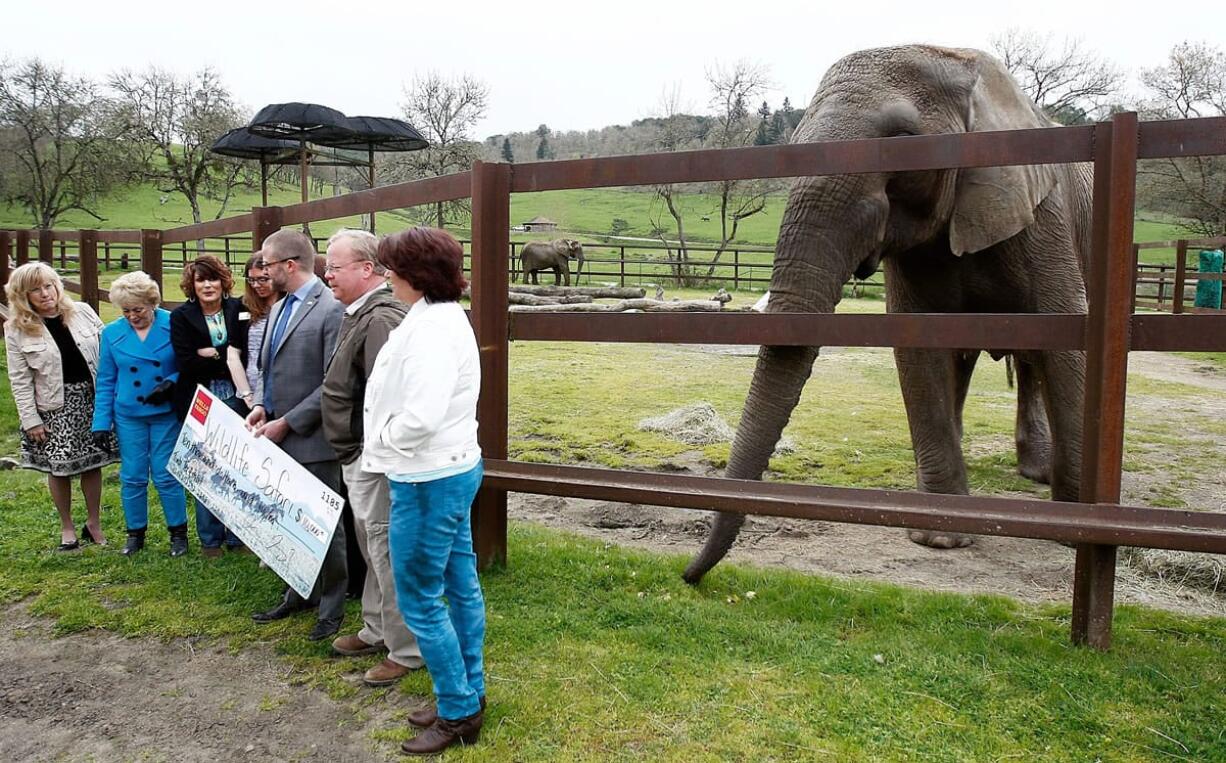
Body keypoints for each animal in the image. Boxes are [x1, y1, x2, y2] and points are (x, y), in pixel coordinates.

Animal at [681, 44, 1093, 586]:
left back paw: (1038, 475)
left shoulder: (1043, 214)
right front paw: (941, 537)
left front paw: (1076, 534)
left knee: (1031, 357)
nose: (687, 575)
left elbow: (1066, 336)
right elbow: (920, 345)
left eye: (902, 142)